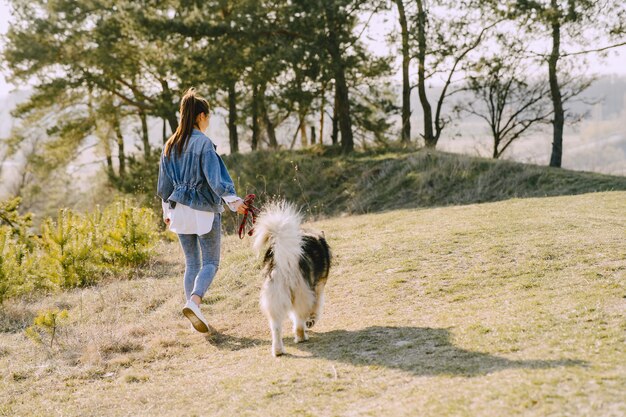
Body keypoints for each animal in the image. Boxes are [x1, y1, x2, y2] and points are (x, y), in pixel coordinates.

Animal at [252, 201, 332, 354]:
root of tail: (284, 262)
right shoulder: (318, 287)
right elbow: (316, 308)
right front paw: (311, 321)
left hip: (275, 299)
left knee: (276, 327)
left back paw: (278, 350)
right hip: (302, 295)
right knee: (299, 320)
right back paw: (301, 337)